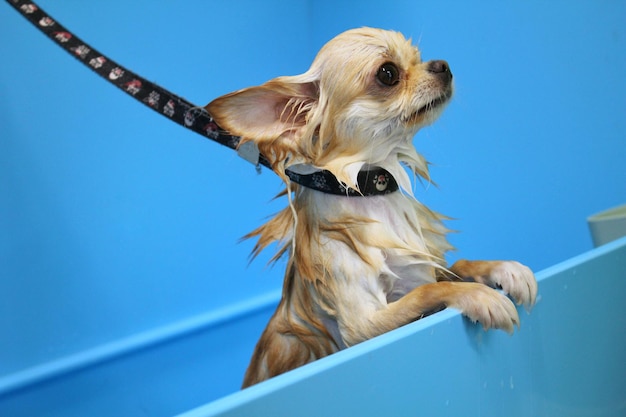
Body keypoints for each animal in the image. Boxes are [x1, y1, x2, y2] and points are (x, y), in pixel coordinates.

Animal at [206, 28, 536, 386]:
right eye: (387, 73)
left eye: (418, 57)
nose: (442, 65)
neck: (372, 194)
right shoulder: (362, 327)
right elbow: (429, 291)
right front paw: (480, 296)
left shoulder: (422, 267)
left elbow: (455, 266)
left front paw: (504, 269)